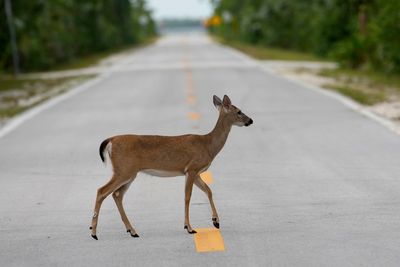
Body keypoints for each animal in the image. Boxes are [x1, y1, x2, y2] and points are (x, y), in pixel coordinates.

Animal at [90, 94, 253, 241]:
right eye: (239, 111)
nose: (250, 120)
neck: (208, 145)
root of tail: (111, 140)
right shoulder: (192, 168)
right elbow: (187, 197)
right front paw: (189, 228)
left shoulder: (195, 172)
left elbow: (208, 190)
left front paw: (216, 221)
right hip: (124, 170)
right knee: (102, 191)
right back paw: (94, 232)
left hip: (129, 173)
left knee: (117, 195)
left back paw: (132, 231)